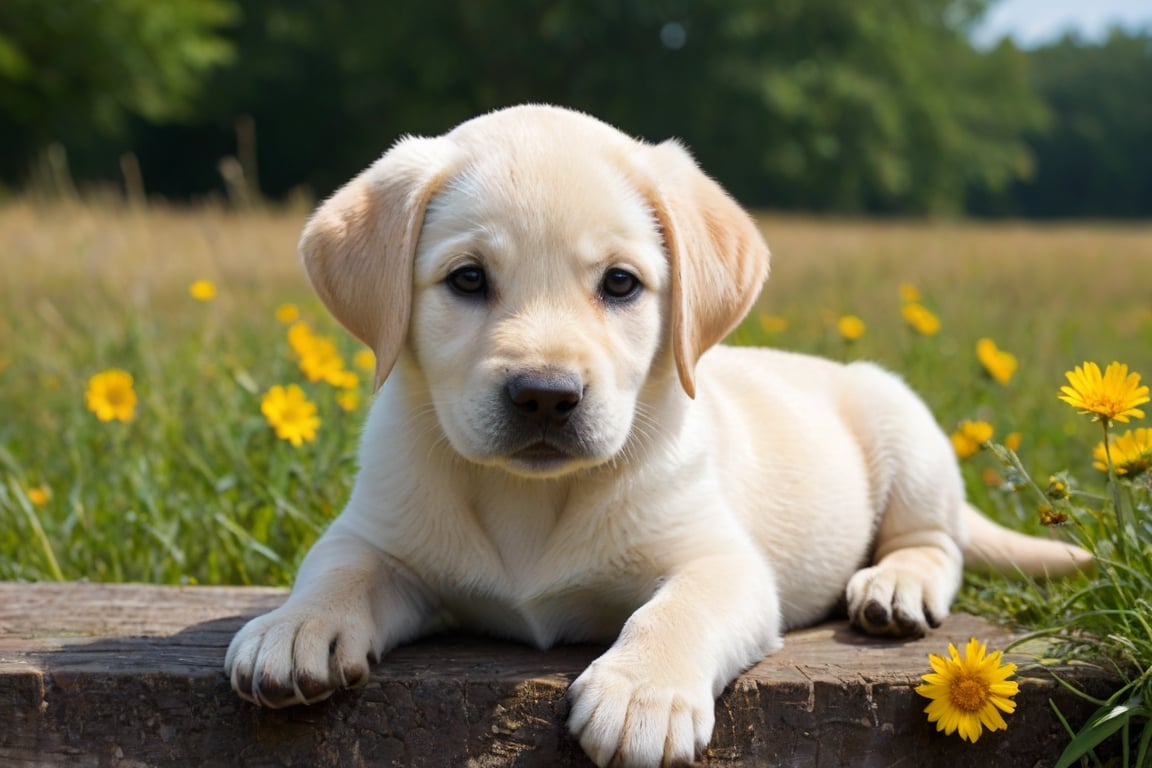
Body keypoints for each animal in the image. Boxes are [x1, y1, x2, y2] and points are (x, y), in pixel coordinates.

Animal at [222, 105, 1087, 764]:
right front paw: (294, 627)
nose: (545, 397)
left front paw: (642, 692)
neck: (532, 500)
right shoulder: (380, 534)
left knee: (936, 542)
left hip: (901, 420)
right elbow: (336, 567)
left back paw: (895, 586)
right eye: (467, 278)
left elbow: (676, 608)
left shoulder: (724, 563)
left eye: (620, 284)